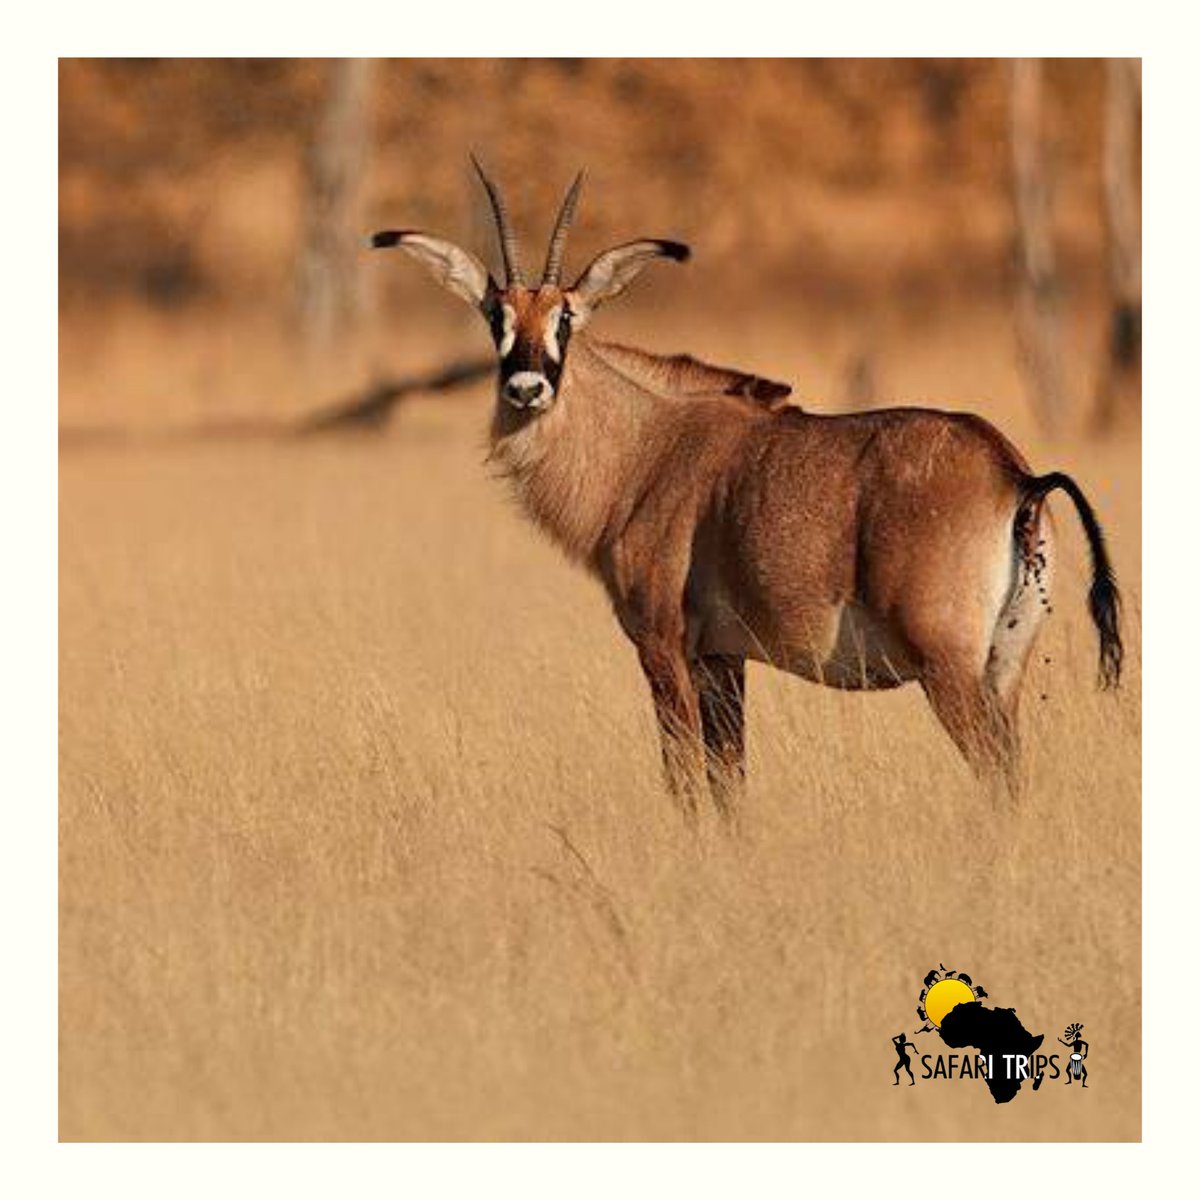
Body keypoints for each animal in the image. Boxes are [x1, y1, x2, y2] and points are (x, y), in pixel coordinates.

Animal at [372, 158, 1122, 817]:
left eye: (567, 317)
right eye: (496, 316)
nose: (527, 389)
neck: (646, 447)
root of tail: (1015, 473)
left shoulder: (663, 646)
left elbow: (685, 781)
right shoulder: (723, 658)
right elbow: (729, 781)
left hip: (948, 667)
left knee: (996, 774)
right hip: (1003, 667)